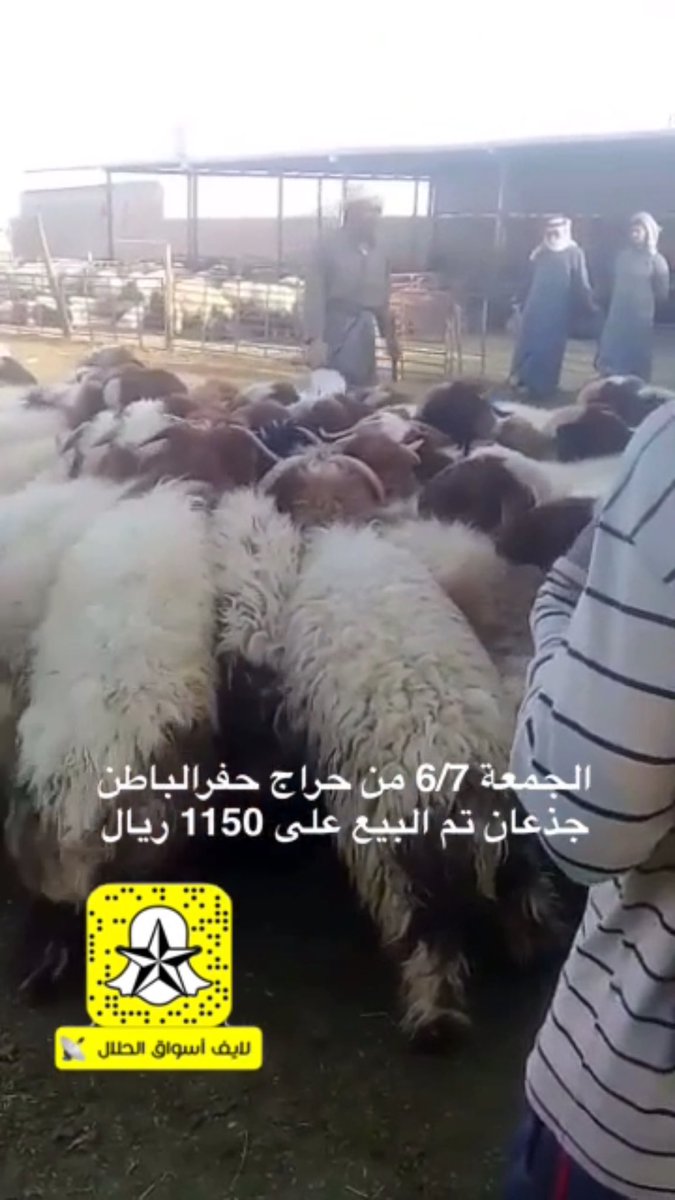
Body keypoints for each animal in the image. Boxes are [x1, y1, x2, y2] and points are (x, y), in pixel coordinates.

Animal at [281, 526, 561, 1039]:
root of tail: (463, 778)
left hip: (402, 870)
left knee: (431, 942)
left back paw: (435, 1023)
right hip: (510, 839)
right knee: (524, 891)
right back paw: (534, 951)